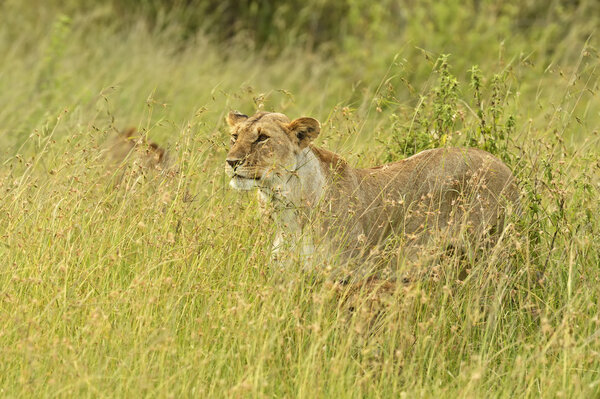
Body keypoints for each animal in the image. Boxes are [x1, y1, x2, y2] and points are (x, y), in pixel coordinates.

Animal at [225, 111, 520, 280]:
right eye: (234, 137)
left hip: (488, 250)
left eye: (262, 138)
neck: (286, 209)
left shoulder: (348, 276)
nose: (231, 162)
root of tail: (505, 167)